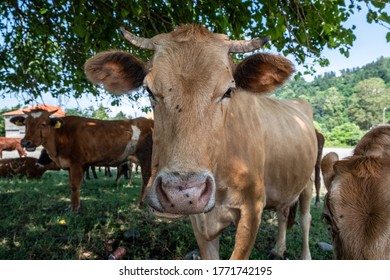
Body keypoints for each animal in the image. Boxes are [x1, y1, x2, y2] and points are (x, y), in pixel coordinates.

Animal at [10, 110, 154, 211]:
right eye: (25, 124)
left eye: (43, 124)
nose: (25, 142)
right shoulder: (69, 165)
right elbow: (71, 185)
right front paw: (71, 206)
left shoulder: (76, 163)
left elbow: (74, 185)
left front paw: (75, 208)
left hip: (146, 157)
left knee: (146, 179)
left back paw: (140, 204)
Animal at [84, 25, 316, 260]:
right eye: (148, 90)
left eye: (228, 91)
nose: (181, 194)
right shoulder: (198, 219)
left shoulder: (252, 210)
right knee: (283, 212)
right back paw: (278, 248)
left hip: (309, 181)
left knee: (305, 219)